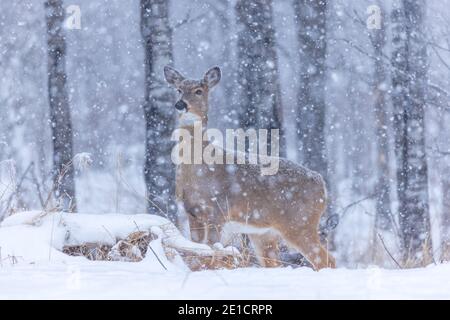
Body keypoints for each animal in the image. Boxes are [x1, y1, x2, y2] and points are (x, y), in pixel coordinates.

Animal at [164, 65, 334, 270]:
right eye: (178, 90)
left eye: (199, 90)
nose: (180, 104)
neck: (199, 170)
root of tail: (322, 184)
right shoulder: (192, 212)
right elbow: (197, 253)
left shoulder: (218, 211)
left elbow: (213, 252)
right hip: (265, 234)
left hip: (299, 222)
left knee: (326, 260)